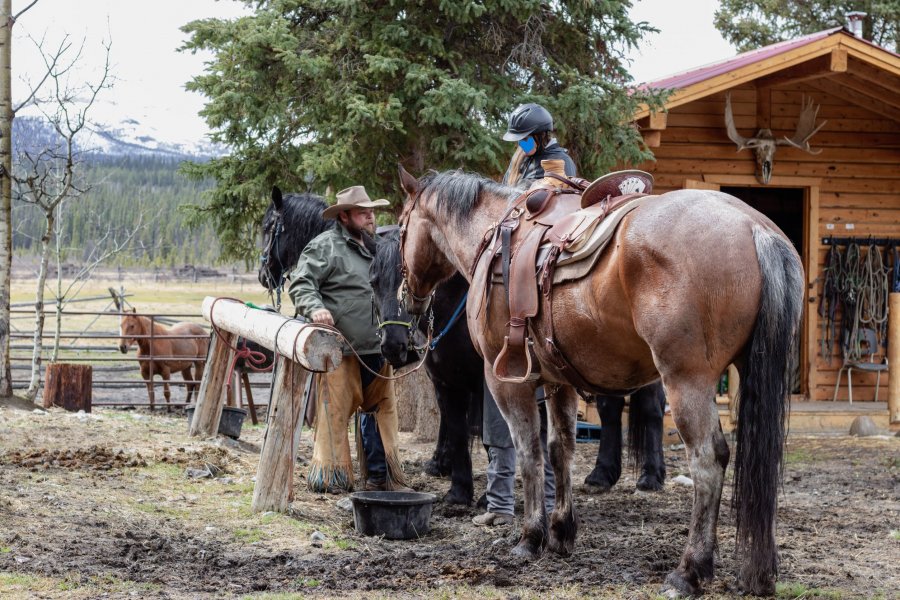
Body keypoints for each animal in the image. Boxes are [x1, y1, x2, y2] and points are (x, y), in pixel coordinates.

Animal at [371, 227, 669, 503]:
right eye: (374, 282)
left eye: (406, 277)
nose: (393, 345)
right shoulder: (446, 382)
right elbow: (456, 430)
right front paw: (457, 491)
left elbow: (493, 438)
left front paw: (486, 496)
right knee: (610, 409)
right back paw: (602, 474)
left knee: (651, 409)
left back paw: (650, 476)